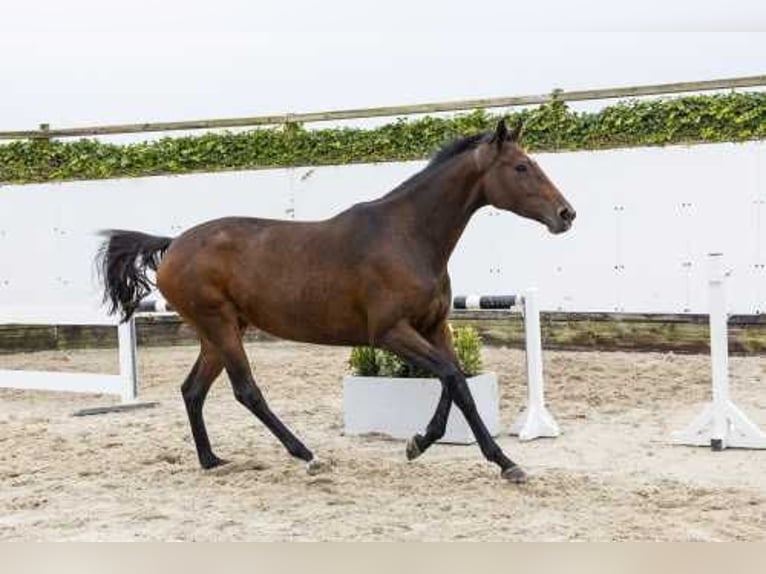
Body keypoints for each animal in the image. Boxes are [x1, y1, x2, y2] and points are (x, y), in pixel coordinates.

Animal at [96, 119, 576, 484]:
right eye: (520, 167)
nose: (566, 214)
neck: (408, 236)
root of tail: (172, 244)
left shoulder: (434, 326)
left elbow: (456, 383)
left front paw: (424, 444)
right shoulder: (390, 333)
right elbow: (453, 378)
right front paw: (499, 461)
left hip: (219, 332)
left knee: (193, 390)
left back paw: (211, 460)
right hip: (220, 328)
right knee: (246, 391)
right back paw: (307, 455)